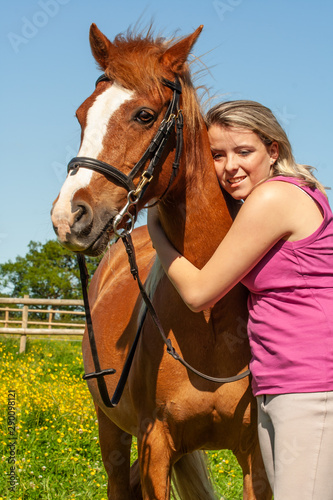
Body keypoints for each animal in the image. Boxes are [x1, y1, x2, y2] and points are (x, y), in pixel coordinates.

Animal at [51, 21, 270, 498]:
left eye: (144, 116)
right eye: (80, 115)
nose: (68, 217)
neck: (209, 316)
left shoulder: (256, 453)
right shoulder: (155, 444)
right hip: (111, 431)